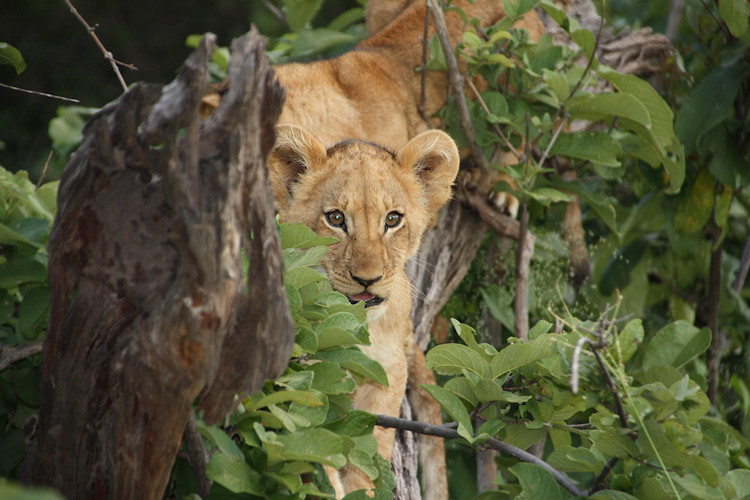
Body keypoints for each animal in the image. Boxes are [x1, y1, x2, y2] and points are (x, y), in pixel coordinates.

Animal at [268, 124, 460, 498]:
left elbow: (368, 451)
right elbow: (316, 447)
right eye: (336, 218)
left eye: (393, 219)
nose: (367, 279)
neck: (356, 326)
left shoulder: (386, 373)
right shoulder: (305, 378)